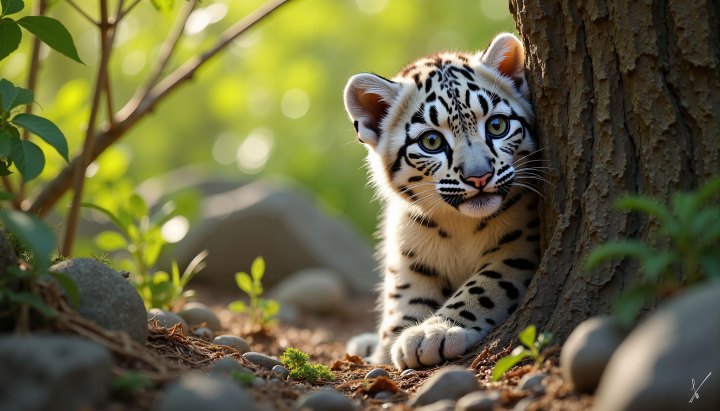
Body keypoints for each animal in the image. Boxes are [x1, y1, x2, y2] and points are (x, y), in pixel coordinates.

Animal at [343, 33, 541, 370]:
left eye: (497, 125)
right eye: (431, 141)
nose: (479, 176)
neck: (458, 226)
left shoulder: (519, 246)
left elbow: (486, 284)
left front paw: (434, 332)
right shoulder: (411, 259)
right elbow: (402, 301)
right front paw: (396, 344)